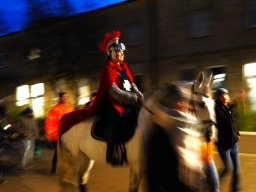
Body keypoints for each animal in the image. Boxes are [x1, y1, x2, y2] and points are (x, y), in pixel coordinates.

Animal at [57, 71, 215, 191]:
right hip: (73, 157)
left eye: (213, 103)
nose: (210, 135)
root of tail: (65, 118)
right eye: (201, 103)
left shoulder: (138, 167)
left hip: (86, 157)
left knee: (81, 179)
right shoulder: (139, 166)